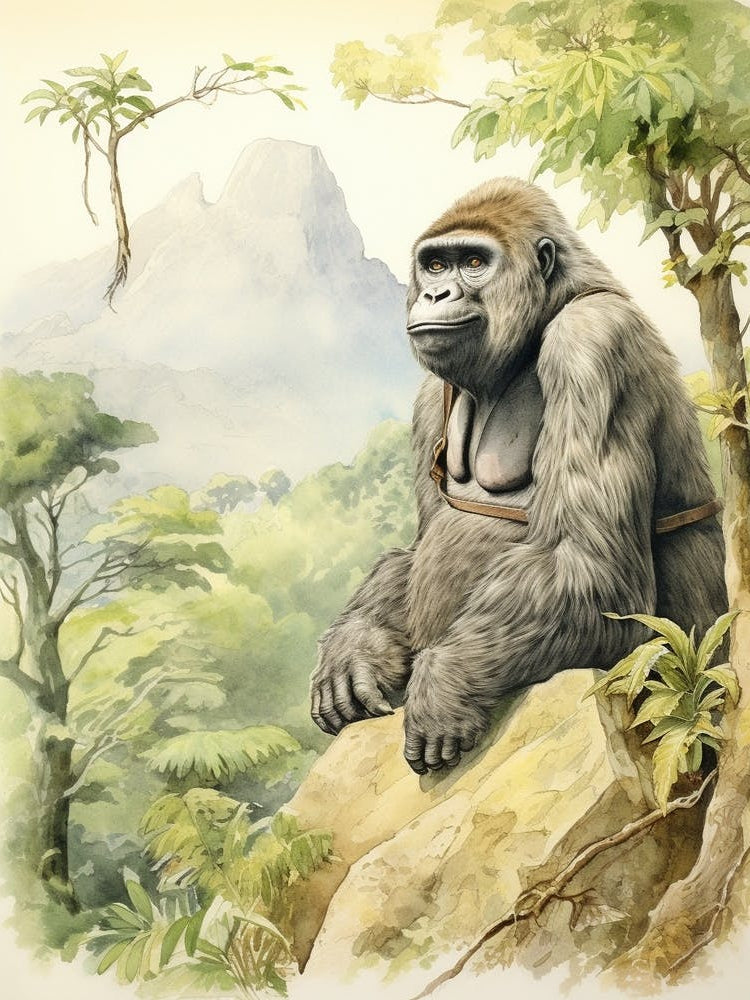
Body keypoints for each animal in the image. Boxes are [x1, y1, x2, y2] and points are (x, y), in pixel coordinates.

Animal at [310, 177, 727, 776]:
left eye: (473, 263)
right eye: (435, 265)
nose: (435, 295)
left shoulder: (592, 344)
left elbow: (590, 566)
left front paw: (446, 681)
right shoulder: (427, 399)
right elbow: (415, 551)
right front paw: (356, 645)